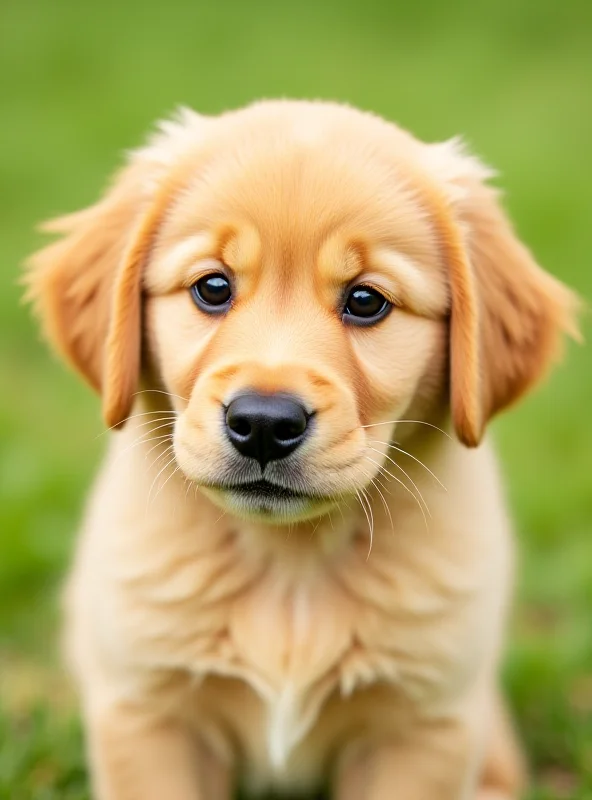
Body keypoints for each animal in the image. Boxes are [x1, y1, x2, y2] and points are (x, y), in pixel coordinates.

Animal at [26, 101, 580, 800]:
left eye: (366, 300)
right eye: (212, 287)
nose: (264, 424)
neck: (291, 565)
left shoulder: (422, 728)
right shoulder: (149, 714)